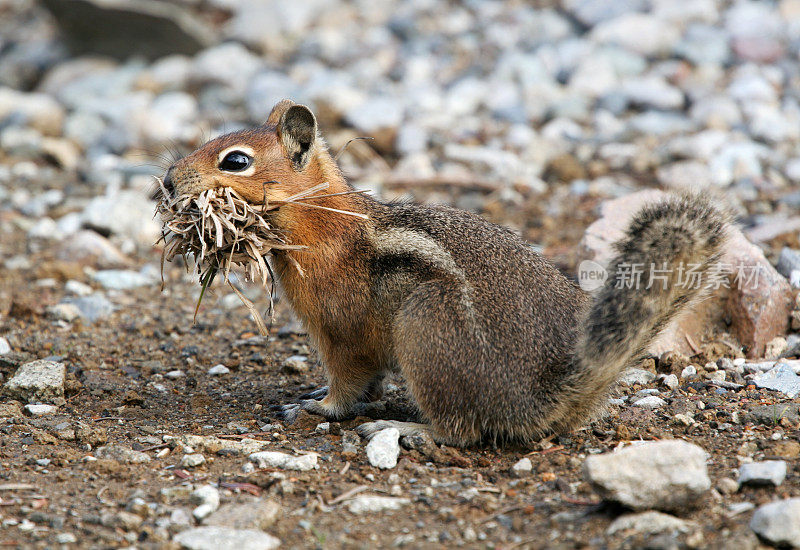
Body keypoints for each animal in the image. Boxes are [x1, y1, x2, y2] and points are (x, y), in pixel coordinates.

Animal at [161, 99, 724, 448]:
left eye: (235, 161)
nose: (167, 179)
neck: (322, 220)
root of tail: (546, 393)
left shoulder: (339, 333)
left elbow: (348, 381)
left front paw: (320, 407)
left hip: (425, 326)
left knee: (464, 431)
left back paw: (410, 430)